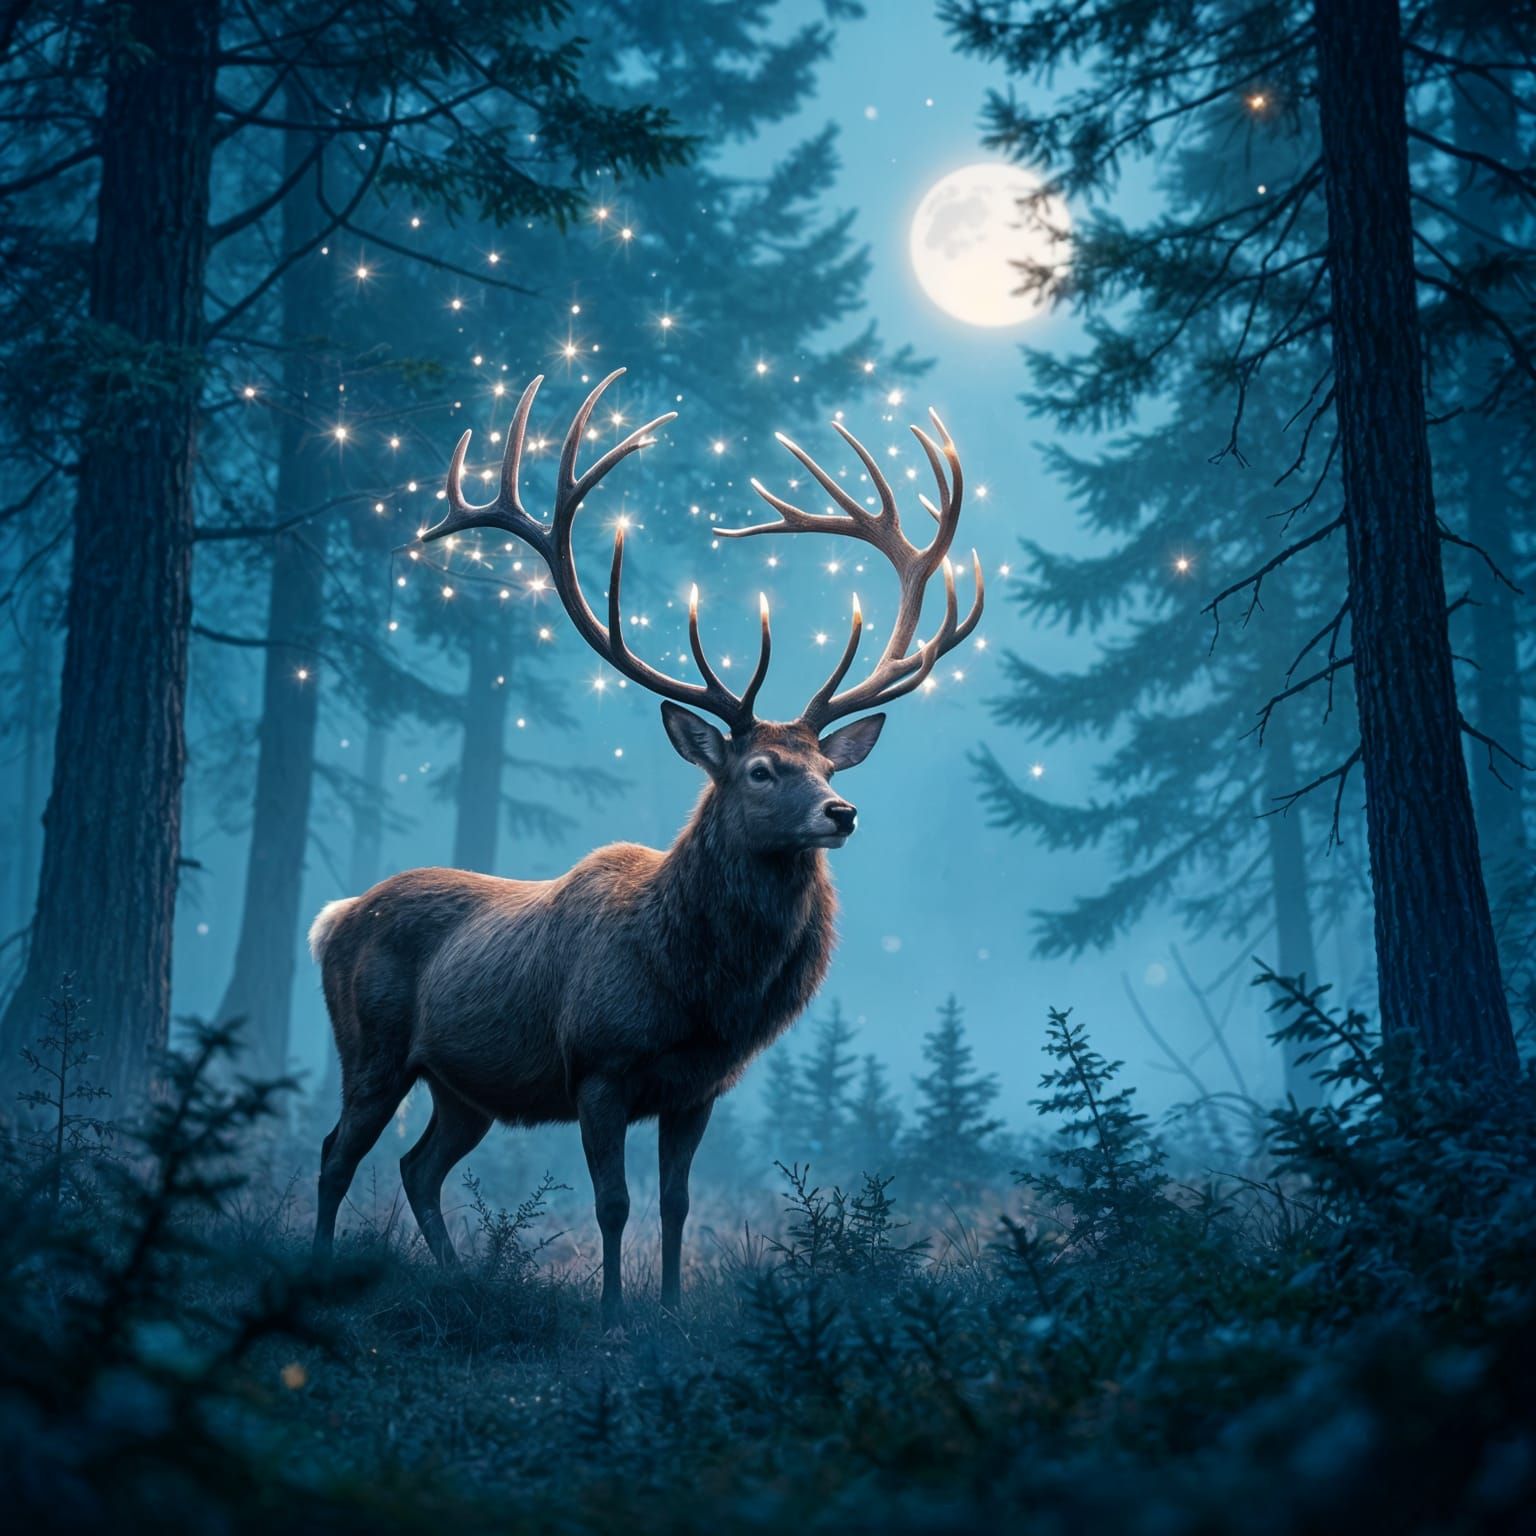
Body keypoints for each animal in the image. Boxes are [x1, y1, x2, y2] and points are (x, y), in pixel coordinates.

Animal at [308, 368, 983, 1326]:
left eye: (824, 762)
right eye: (761, 771)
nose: (842, 811)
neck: (697, 988)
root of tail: (332, 918)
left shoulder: (698, 1087)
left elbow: (675, 1204)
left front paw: (665, 1310)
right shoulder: (600, 1064)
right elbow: (613, 1203)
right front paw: (613, 1315)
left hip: (464, 1085)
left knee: (418, 1165)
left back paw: (457, 1276)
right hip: (371, 1044)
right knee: (338, 1152)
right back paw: (323, 1269)